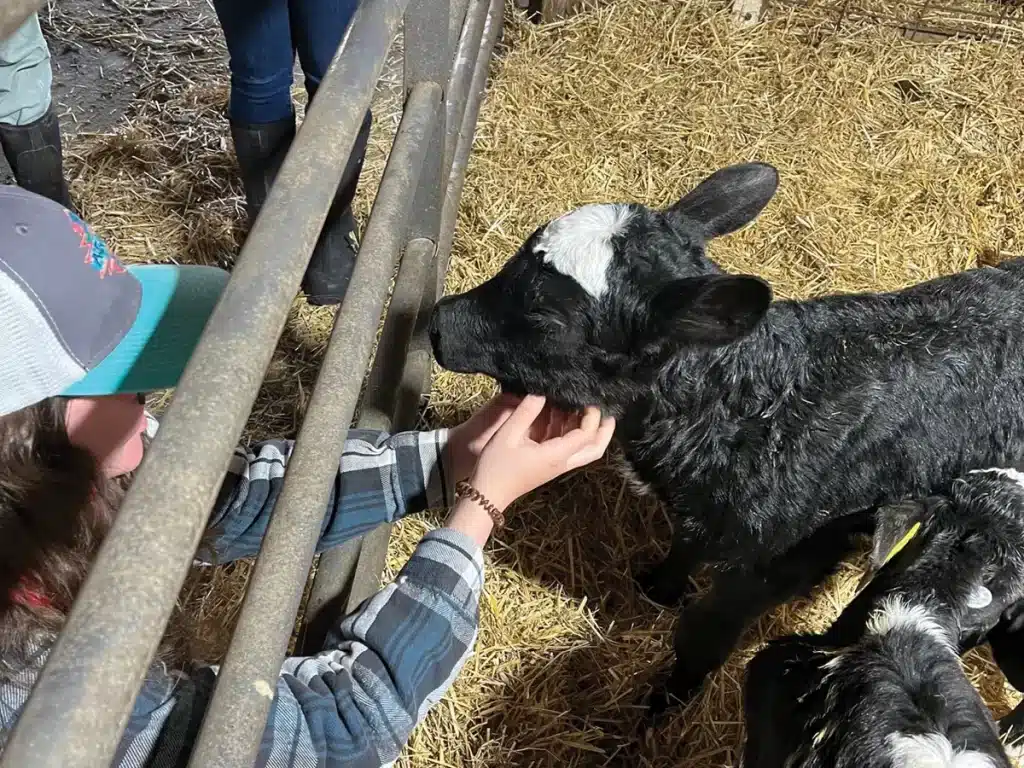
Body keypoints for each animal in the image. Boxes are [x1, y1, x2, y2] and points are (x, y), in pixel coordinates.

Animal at [426, 162, 1024, 714]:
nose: (436, 326)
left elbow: (703, 636)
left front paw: (661, 709)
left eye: (546, 318)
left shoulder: (775, 562)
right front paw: (657, 590)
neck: (747, 402)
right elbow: (683, 550)